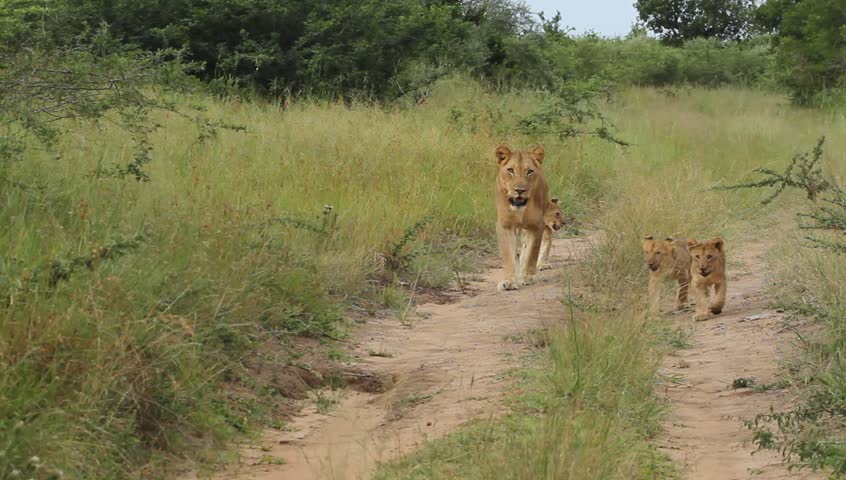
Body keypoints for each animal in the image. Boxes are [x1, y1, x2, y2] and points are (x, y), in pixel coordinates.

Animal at [494, 145, 549, 291]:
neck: (519, 209)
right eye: (510, 170)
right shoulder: (505, 225)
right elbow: (508, 255)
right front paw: (509, 281)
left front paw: (528, 277)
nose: (520, 190)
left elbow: (531, 252)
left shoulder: (537, 226)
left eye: (529, 171)